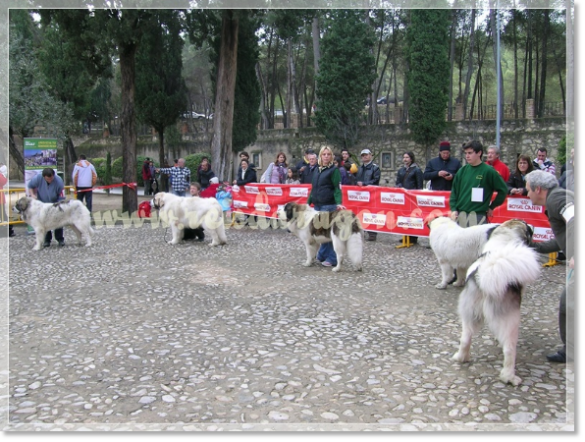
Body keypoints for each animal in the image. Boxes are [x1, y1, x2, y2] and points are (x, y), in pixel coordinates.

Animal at [452, 219, 544, 386]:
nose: (533, 226)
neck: (502, 240)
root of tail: (486, 275)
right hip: (510, 320)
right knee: (509, 350)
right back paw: (509, 377)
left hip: (469, 313)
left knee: (465, 338)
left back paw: (461, 357)